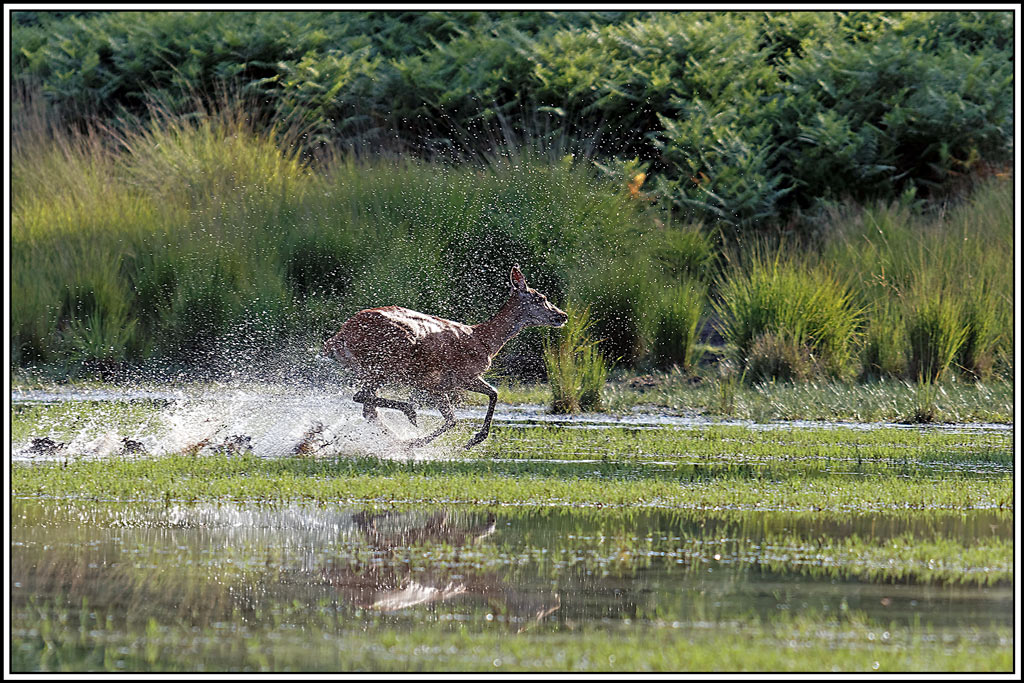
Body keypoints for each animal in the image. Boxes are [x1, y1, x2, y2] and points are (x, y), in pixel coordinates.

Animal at [323, 266, 568, 450]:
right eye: (541, 298)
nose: (563, 315)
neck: (485, 341)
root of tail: (338, 338)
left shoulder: (439, 385)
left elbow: (458, 416)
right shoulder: (460, 375)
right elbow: (488, 397)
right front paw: (466, 441)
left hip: (373, 368)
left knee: (368, 408)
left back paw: (395, 440)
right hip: (387, 360)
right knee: (362, 397)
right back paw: (409, 415)